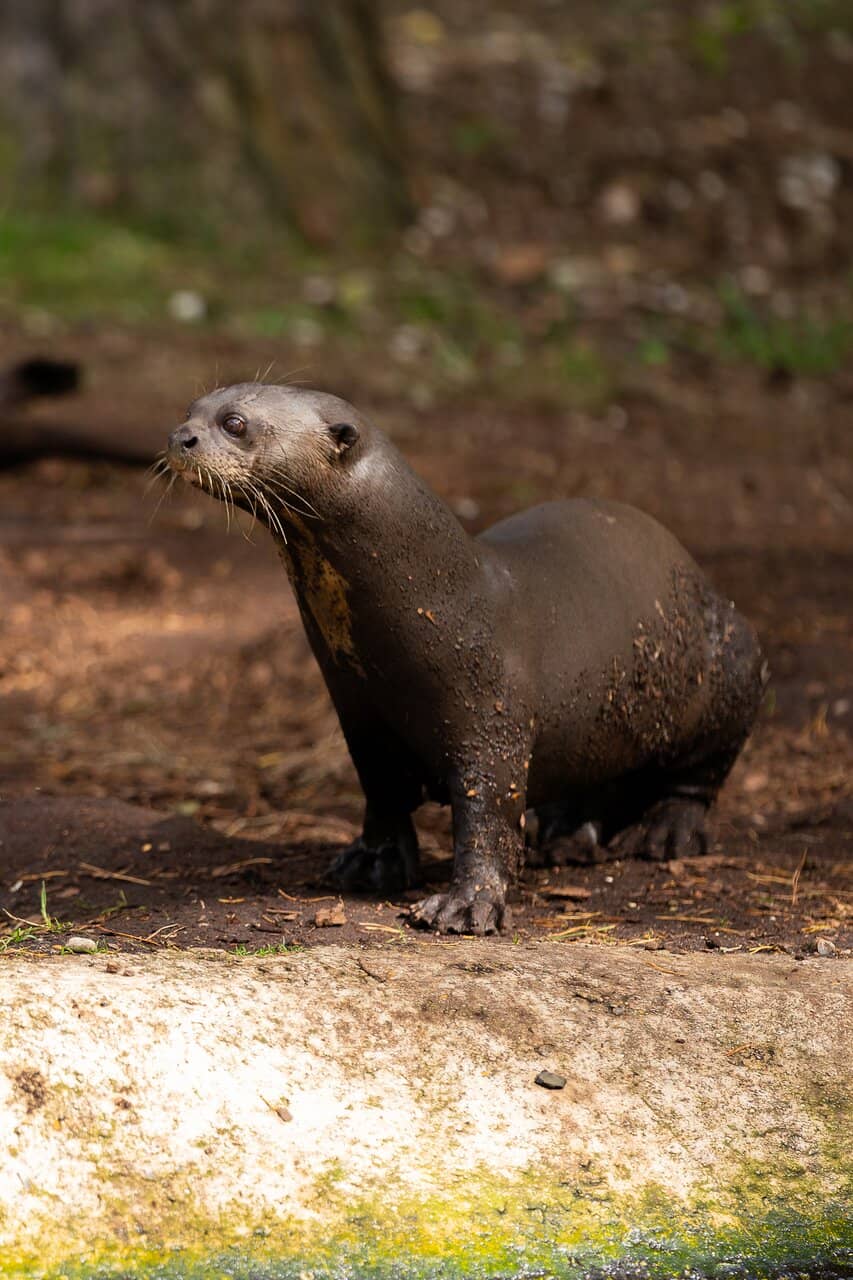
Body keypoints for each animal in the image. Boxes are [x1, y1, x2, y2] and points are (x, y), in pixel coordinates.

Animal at [166, 384, 765, 935]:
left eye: (235, 423)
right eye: (190, 408)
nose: (179, 437)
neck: (442, 602)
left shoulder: (492, 715)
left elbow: (489, 814)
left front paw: (466, 905)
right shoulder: (359, 714)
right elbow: (381, 793)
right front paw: (372, 862)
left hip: (734, 663)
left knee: (701, 771)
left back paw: (666, 833)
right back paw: (565, 834)